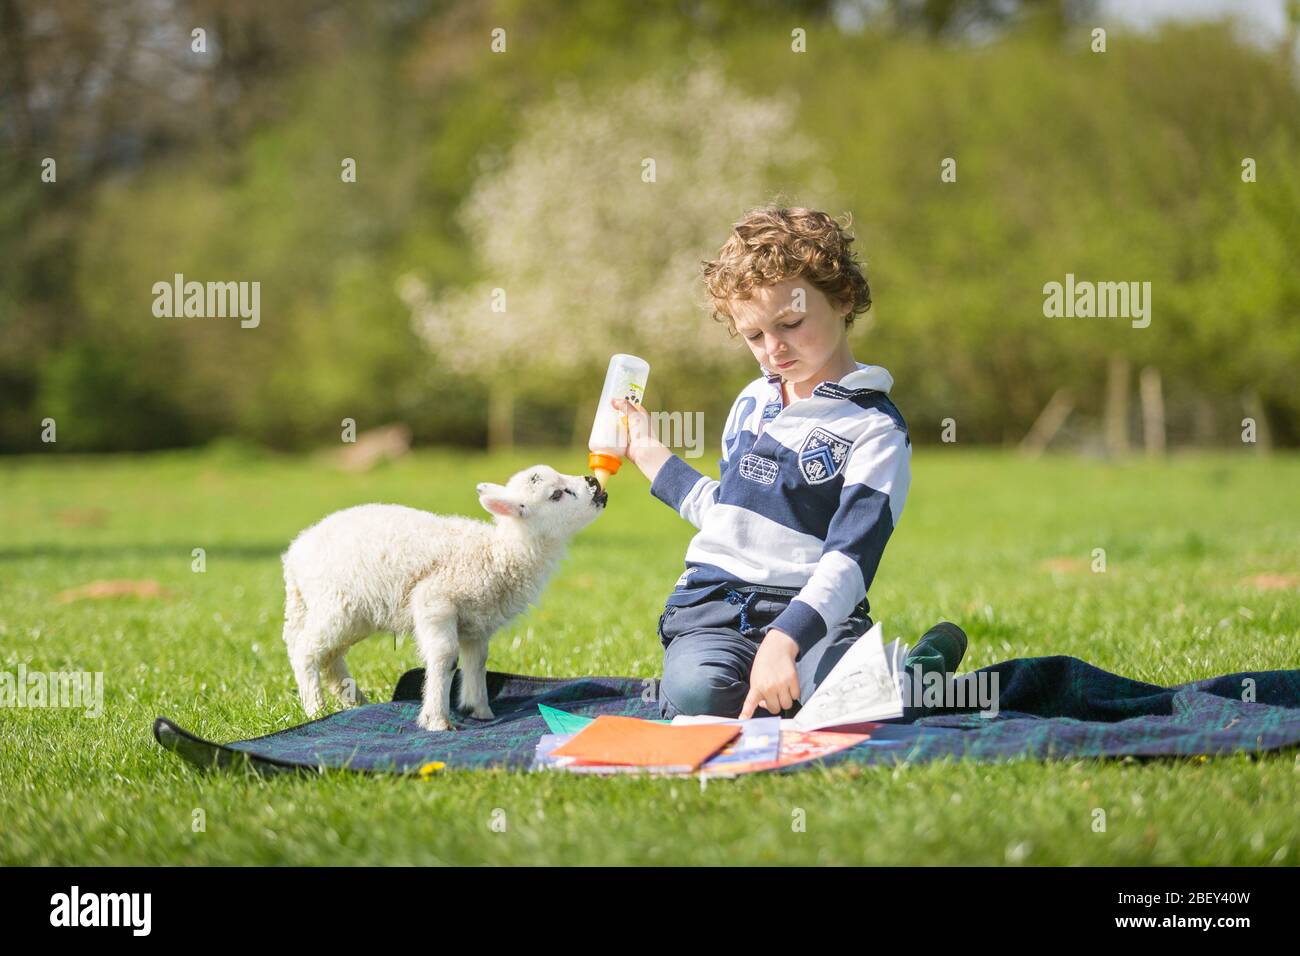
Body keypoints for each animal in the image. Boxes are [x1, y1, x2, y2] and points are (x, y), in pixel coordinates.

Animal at [282, 468, 605, 728]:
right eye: (556, 494)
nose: (593, 481)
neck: (499, 553)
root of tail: (295, 555)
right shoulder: (435, 601)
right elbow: (445, 657)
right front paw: (437, 720)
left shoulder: (477, 623)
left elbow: (477, 662)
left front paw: (481, 711)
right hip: (335, 606)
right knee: (305, 651)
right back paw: (315, 709)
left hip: (354, 616)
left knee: (330, 657)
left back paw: (355, 702)